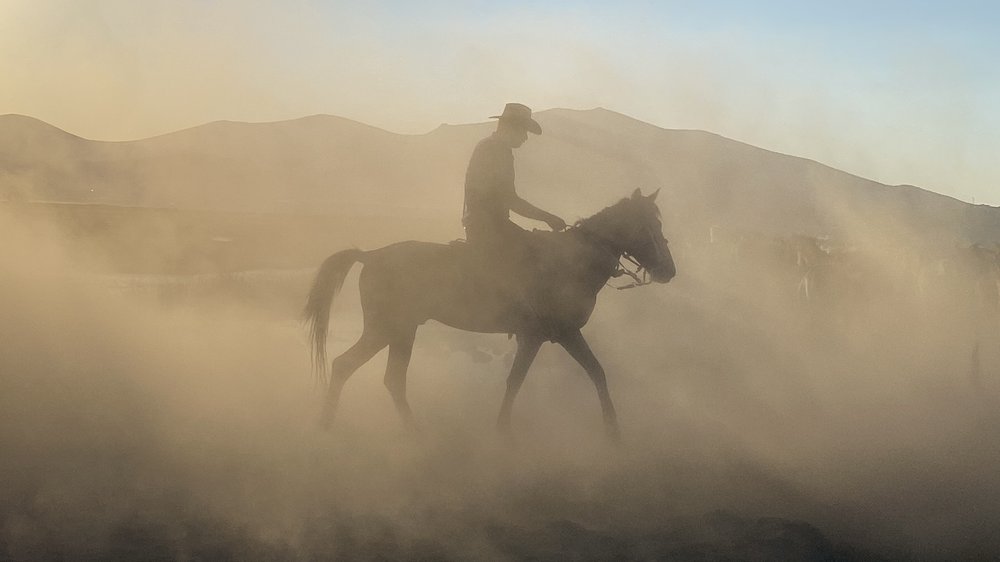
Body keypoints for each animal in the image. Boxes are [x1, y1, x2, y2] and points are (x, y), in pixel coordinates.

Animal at [304, 188, 676, 438]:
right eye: (647, 225)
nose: (668, 271)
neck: (572, 262)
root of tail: (370, 255)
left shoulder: (553, 336)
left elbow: (589, 373)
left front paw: (612, 431)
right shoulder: (548, 335)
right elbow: (525, 379)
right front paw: (505, 433)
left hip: (402, 332)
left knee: (387, 378)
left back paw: (409, 432)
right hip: (386, 329)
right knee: (348, 366)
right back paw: (328, 425)